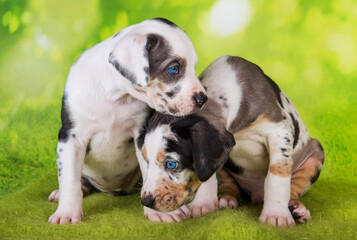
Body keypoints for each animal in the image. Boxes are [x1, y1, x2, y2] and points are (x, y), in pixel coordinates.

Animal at [48, 17, 207, 224]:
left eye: (194, 66)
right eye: (173, 69)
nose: (203, 99)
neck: (114, 95)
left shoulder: (142, 134)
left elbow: (150, 170)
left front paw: (159, 211)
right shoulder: (70, 137)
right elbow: (69, 179)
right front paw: (66, 213)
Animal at [136, 55, 322, 226]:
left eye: (171, 164)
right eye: (146, 161)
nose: (145, 201)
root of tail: (256, 195)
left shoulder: (279, 130)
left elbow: (277, 175)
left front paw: (276, 215)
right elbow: (207, 177)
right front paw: (203, 203)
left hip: (315, 152)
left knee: (294, 188)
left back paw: (297, 209)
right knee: (228, 183)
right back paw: (226, 199)